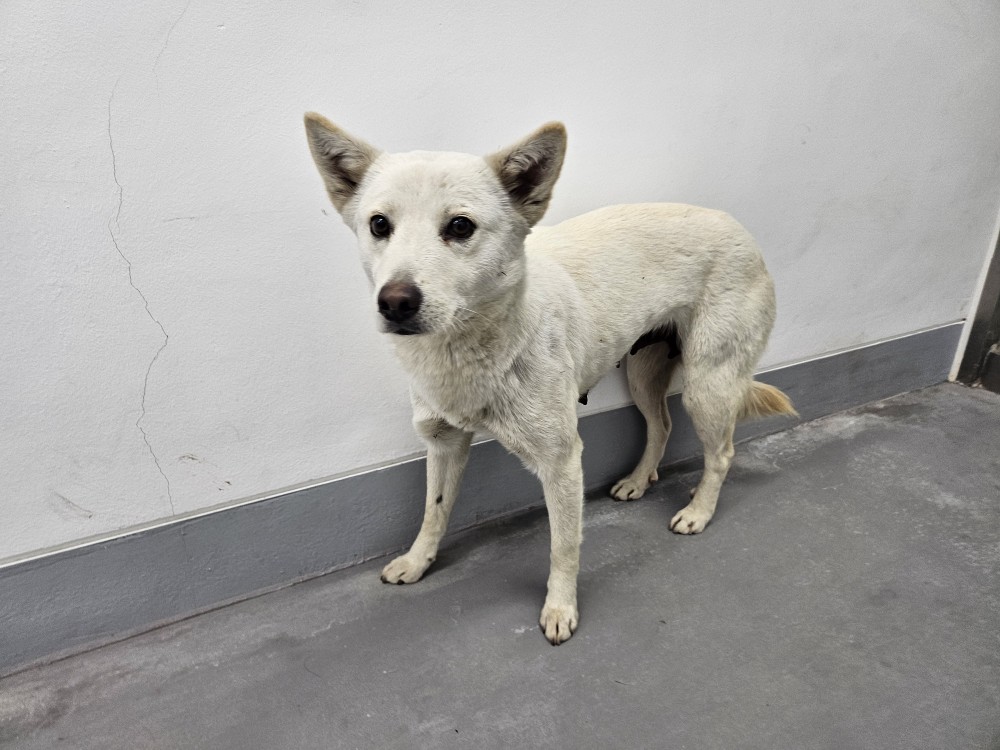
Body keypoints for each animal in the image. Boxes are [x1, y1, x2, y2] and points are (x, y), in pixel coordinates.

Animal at [304, 115, 796, 644]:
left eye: (460, 226)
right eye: (379, 224)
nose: (395, 302)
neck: (471, 347)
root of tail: (737, 225)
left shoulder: (561, 460)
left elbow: (564, 545)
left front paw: (560, 609)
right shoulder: (443, 442)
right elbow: (434, 509)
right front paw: (418, 562)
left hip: (709, 386)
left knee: (720, 454)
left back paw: (698, 513)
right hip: (643, 373)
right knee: (660, 426)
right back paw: (637, 481)